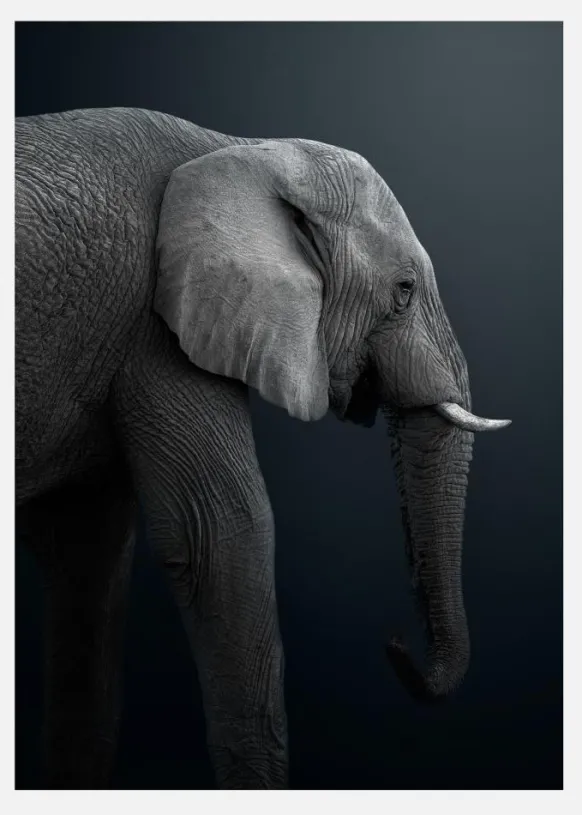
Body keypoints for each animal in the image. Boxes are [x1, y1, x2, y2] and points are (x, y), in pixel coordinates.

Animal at [15, 106, 511, 790]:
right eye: (405, 290)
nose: (393, 643)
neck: (244, 151)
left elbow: (88, 552)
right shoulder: (160, 327)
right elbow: (221, 536)